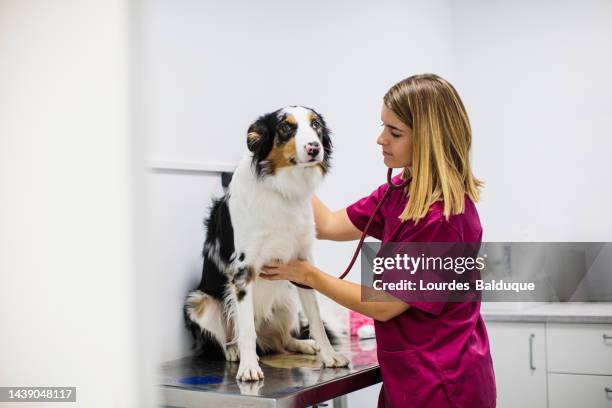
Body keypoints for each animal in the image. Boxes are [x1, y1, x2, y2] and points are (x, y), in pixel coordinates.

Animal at [183, 106, 350, 382]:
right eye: (285, 127)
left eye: (315, 125)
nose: (314, 148)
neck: (281, 189)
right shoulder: (243, 270)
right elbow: (246, 330)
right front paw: (249, 367)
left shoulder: (303, 265)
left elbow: (316, 320)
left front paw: (329, 356)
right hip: (199, 303)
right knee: (231, 338)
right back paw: (234, 352)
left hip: (287, 299)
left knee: (282, 340)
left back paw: (303, 344)